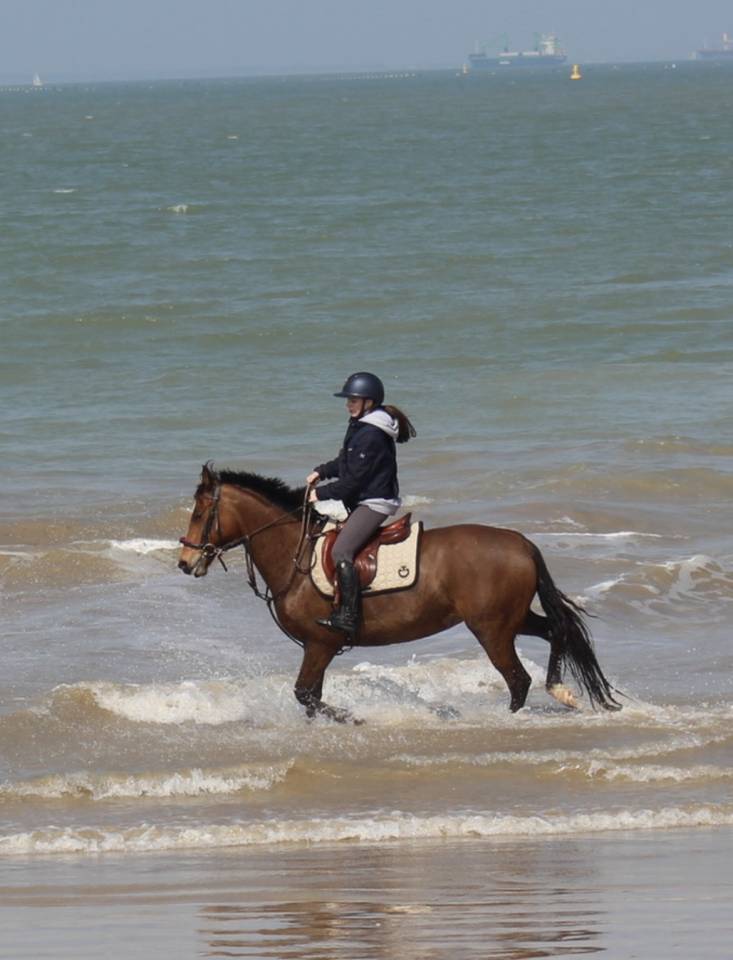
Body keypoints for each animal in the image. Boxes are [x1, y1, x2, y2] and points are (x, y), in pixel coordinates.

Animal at [178, 463, 621, 722]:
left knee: (517, 679)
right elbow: (310, 698)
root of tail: (522, 543)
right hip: (511, 619)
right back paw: (561, 691)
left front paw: (353, 717)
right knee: (555, 631)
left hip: (492, 629)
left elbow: (306, 695)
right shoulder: (317, 647)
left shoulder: (321, 642)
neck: (296, 556)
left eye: (199, 512)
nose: (185, 561)